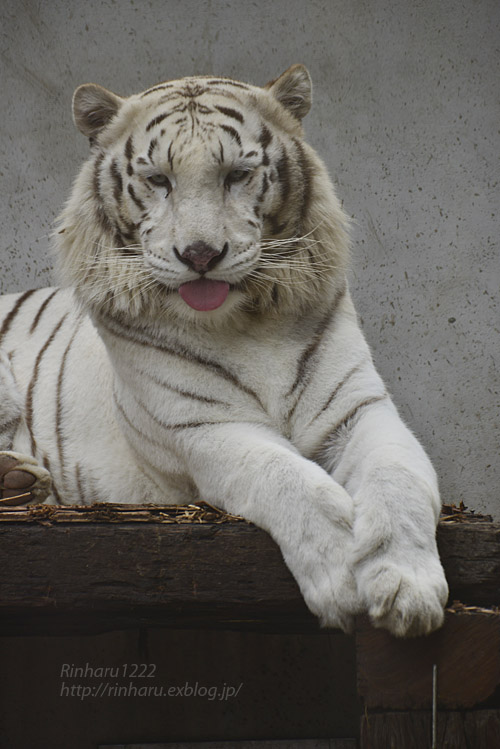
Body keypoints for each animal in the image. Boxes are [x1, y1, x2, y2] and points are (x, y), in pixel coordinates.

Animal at [0, 65, 446, 636]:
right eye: (159, 180)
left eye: (237, 175)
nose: (200, 255)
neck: (245, 324)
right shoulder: (202, 428)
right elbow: (289, 478)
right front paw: (343, 575)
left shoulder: (357, 411)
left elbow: (398, 480)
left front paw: (408, 589)